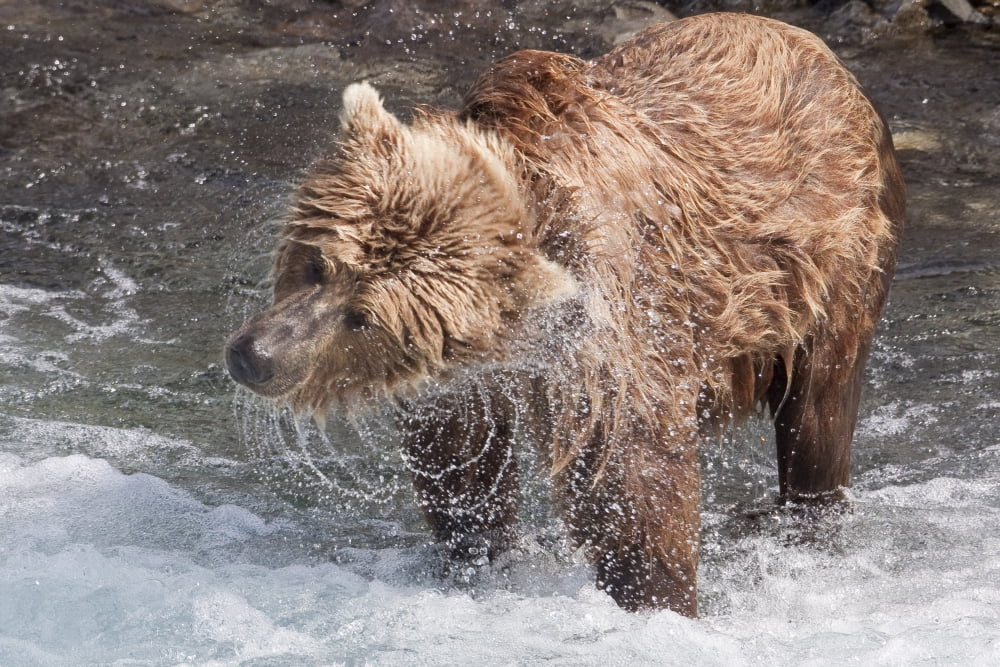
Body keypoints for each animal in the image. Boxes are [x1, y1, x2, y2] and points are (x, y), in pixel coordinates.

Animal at [225, 12, 904, 616]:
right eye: (318, 265)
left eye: (363, 317)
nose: (255, 357)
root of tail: (817, 50)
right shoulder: (462, 382)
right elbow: (462, 464)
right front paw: (477, 558)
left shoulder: (611, 326)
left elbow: (630, 475)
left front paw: (657, 599)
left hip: (831, 269)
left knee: (818, 411)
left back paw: (808, 519)